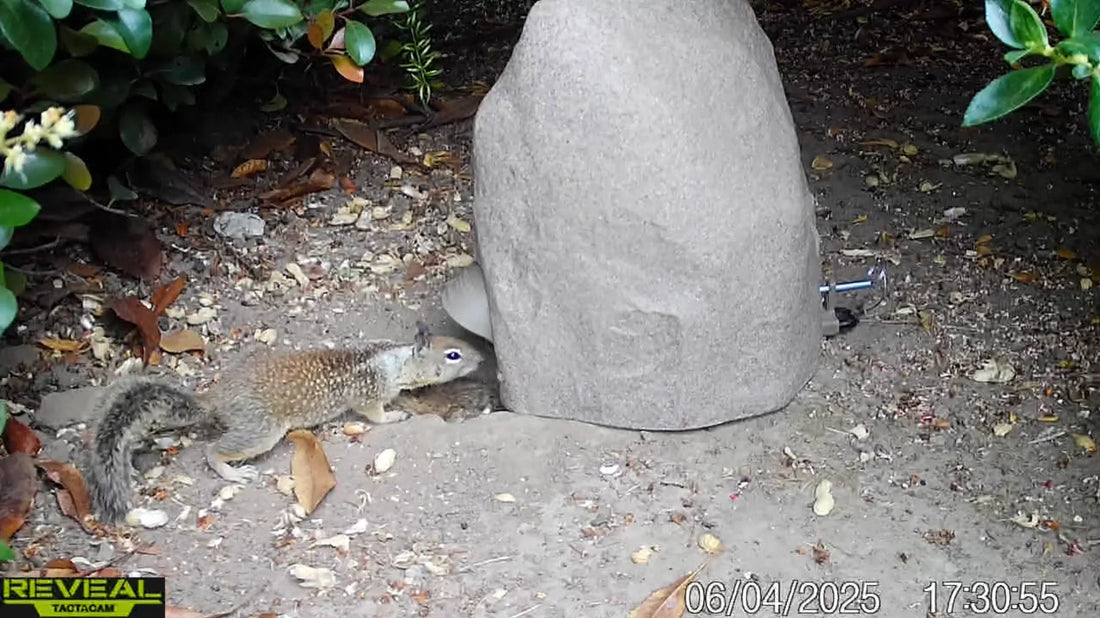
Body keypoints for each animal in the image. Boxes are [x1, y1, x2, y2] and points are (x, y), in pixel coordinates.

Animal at [84, 323, 484, 524]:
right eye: (453, 354)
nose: (482, 360)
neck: (396, 360)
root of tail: (215, 398)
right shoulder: (369, 396)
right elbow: (376, 414)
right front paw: (397, 414)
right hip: (261, 431)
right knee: (214, 450)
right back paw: (232, 473)